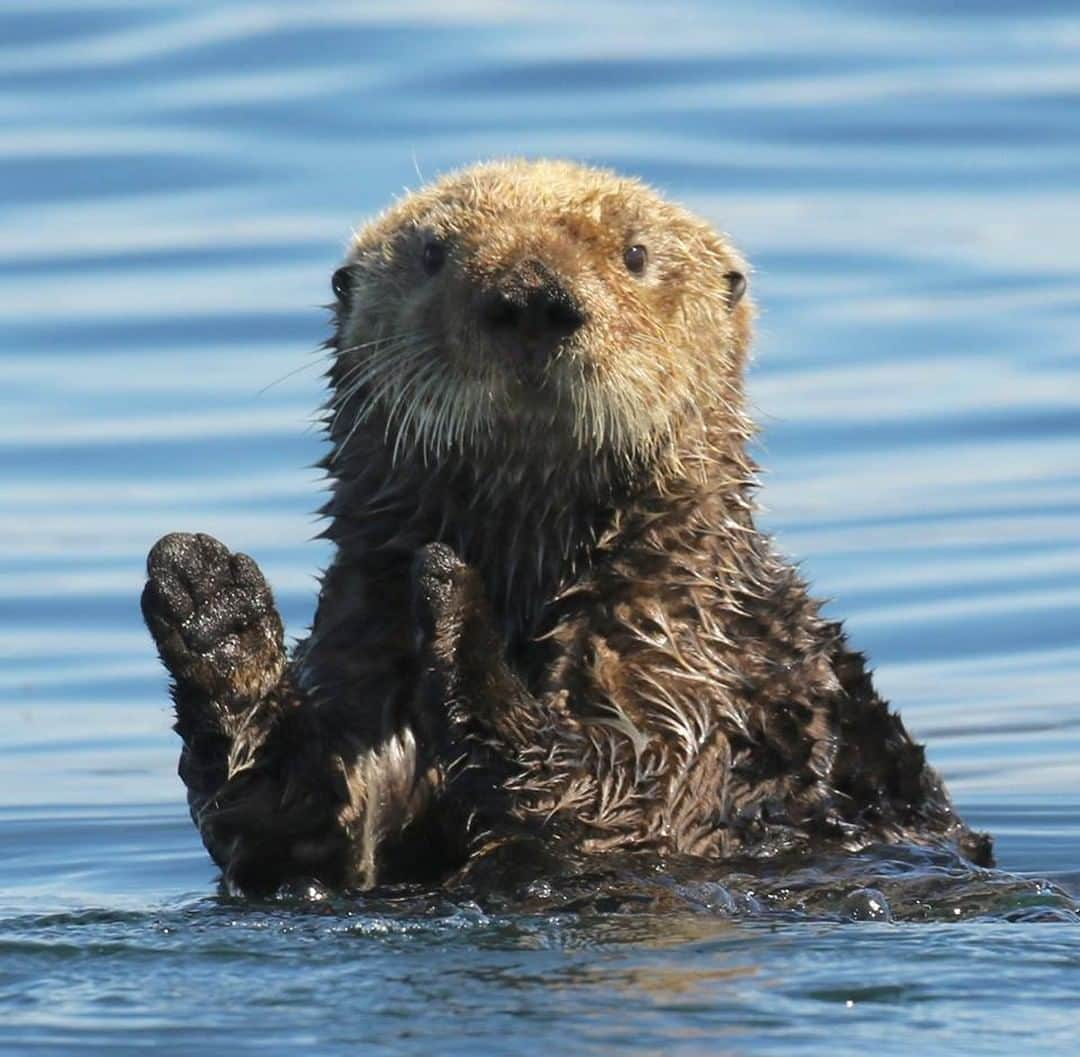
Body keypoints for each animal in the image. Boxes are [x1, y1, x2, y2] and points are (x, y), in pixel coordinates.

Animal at [141, 156, 989, 893]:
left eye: (636, 254)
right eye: (433, 253)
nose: (531, 297)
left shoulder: (687, 667)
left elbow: (610, 792)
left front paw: (456, 607)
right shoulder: (363, 655)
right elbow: (292, 826)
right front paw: (210, 600)